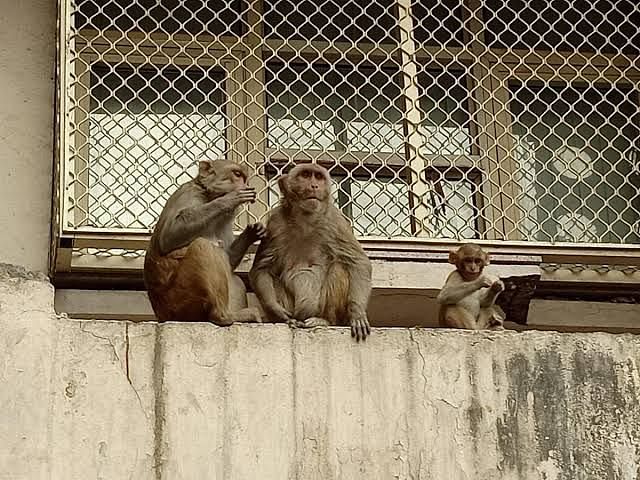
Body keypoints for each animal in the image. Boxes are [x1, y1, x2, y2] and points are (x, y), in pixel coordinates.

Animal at [143, 159, 264, 324]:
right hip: (181, 302)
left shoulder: (225, 217)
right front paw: (229, 199)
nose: (245, 185)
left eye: (244, 177)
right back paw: (223, 316)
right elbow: (168, 238)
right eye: (237, 174)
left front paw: (252, 233)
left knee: (234, 276)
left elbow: (229, 258)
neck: (208, 195)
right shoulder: (189, 194)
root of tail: (162, 316)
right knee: (203, 246)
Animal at [249, 164, 372, 342]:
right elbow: (262, 268)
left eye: (318, 177)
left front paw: (357, 312)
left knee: (339, 267)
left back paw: (324, 320)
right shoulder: (274, 224)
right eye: (306, 175)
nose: (314, 186)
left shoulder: (335, 220)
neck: (305, 218)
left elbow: (358, 261)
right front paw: (275, 309)